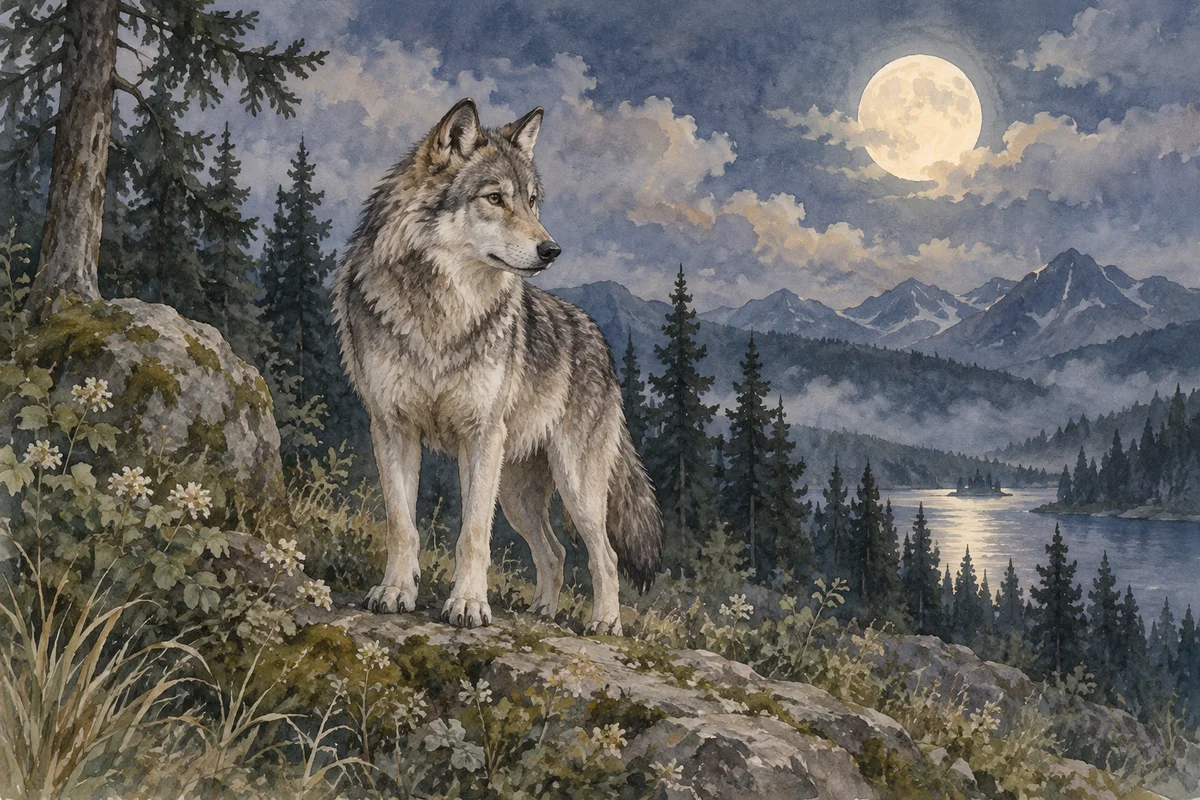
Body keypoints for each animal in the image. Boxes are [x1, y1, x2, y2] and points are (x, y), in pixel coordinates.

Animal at [332, 98, 662, 635]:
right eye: (495, 198)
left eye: (532, 201)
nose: (552, 250)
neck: (442, 313)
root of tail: (600, 343)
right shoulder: (391, 427)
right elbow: (402, 524)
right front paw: (396, 591)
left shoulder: (481, 434)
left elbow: (471, 536)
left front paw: (468, 605)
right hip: (516, 494)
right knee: (555, 553)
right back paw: (543, 612)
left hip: (573, 486)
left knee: (605, 556)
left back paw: (605, 625)